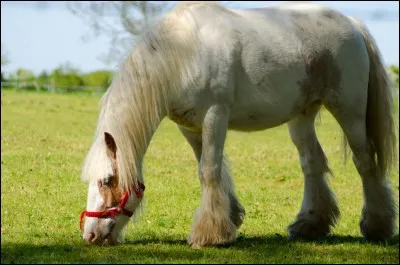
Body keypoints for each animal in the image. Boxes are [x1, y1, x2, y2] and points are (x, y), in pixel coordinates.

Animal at [78, 1, 396, 248]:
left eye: (106, 180)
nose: (90, 235)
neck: (184, 54)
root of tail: (352, 23)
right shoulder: (190, 127)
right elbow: (209, 169)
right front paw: (229, 217)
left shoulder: (215, 115)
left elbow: (209, 170)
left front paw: (209, 235)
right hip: (302, 116)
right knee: (312, 163)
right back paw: (310, 225)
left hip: (349, 111)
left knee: (365, 162)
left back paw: (377, 226)